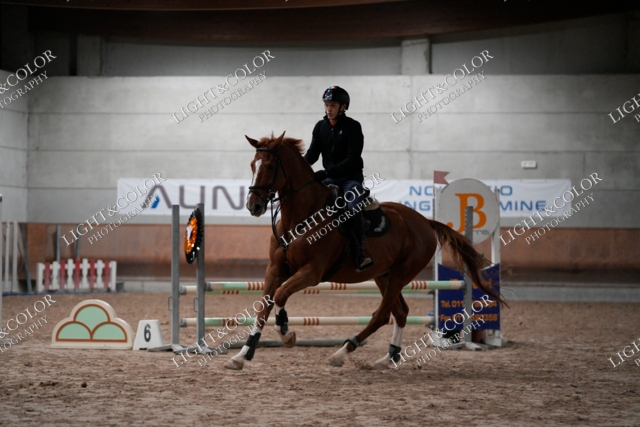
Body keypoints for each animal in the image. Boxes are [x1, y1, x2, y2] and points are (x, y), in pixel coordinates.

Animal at [224, 131, 504, 370]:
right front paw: (242, 355)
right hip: (383, 275)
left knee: (382, 315)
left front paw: (286, 332)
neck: (301, 217)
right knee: (400, 312)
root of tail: (425, 222)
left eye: (271, 166)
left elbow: (281, 295)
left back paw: (341, 353)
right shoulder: (275, 269)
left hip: (401, 274)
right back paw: (388, 358)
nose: (254, 206)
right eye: (253, 165)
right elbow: (264, 308)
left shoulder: (312, 272)